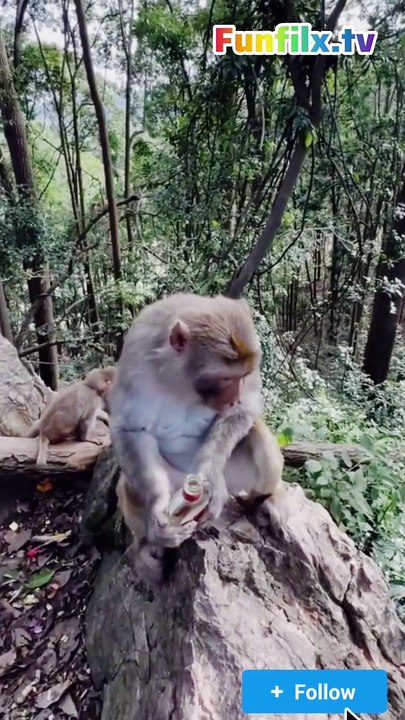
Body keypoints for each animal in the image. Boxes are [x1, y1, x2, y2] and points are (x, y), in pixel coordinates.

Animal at [108, 293, 284, 584]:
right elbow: (132, 429)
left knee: (257, 435)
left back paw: (263, 499)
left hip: (236, 481)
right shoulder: (136, 354)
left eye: (243, 376)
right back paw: (146, 545)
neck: (180, 380)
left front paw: (209, 476)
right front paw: (159, 510)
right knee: (129, 486)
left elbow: (246, 407)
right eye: (225, 378)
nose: (233, 397)